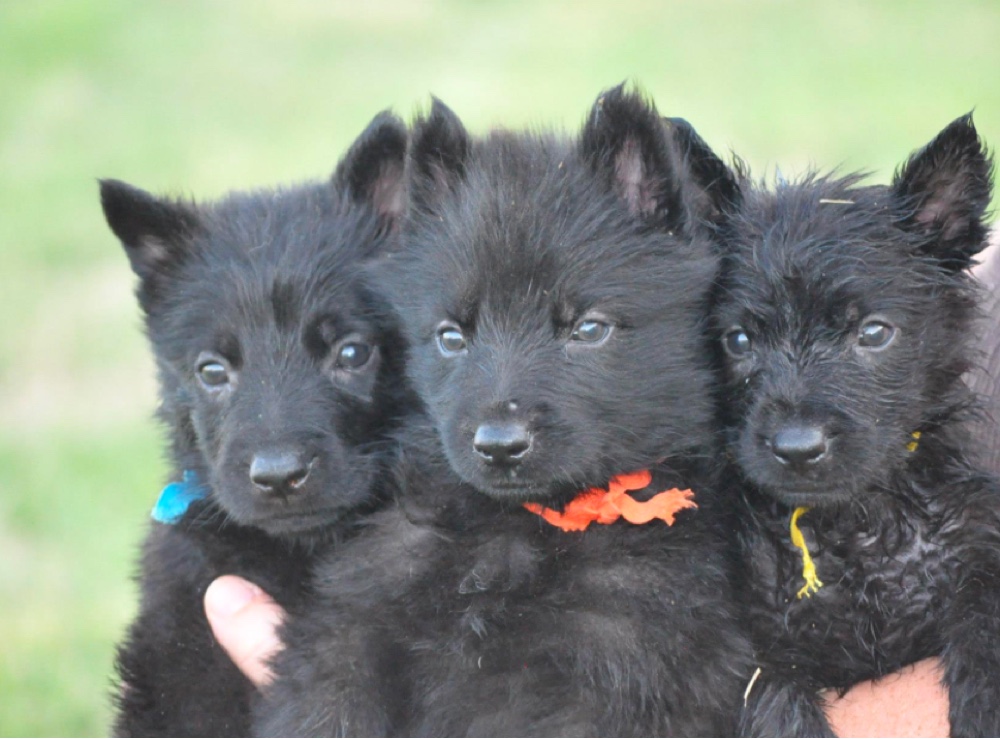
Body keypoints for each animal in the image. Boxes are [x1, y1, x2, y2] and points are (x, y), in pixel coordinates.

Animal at [262, 88, 752, 739]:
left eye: (588, 329)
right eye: (451, 336)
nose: (498, 444)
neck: (512, 533)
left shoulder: (612, 672)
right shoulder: (353, 614)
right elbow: (326, 699)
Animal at [712, 118, 1000, 736]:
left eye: (873, 332)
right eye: (738, 339)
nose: (797, 448)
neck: (853, 528)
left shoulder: (980, 550)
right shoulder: (745, 648)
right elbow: (778, 710)